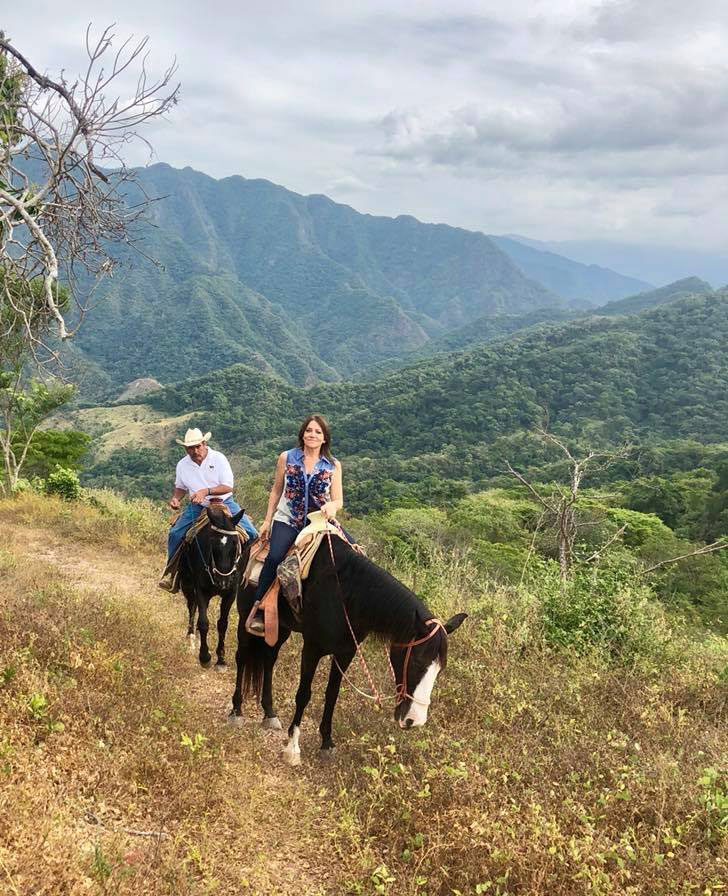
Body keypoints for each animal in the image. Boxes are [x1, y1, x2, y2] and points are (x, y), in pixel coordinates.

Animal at [179, 508, 253, 668]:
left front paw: (221, 659)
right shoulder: (200, 589)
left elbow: (223, 624)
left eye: (235, 544)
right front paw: (205, 656)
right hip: (187, 584)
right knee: (192, 607)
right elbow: (203, 622)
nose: (222, 581)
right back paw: (191, 639)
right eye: (212, 543)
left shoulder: (231, 593)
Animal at [229, 532, 466, 764]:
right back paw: (236, 711)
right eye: (417, 661)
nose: (414, 720)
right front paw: (293, 747)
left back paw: (269, 713)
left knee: (269, 660)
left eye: (440, 669)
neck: (346, 593)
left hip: (280, 628)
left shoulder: (345, 652)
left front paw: (326, 743)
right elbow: (304, 693)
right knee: (242, 657)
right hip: (245, 619)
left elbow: (332, 694)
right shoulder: (312, 648)